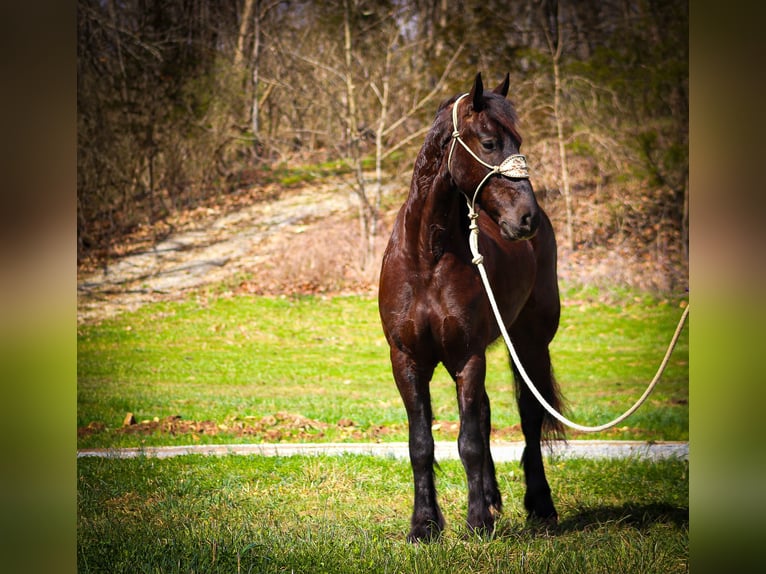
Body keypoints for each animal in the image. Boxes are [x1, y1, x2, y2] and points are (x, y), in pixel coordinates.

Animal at [380, 73, 568, 544]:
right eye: (488, 142)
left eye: (519, 140)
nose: (525, 219)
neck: (426, 258)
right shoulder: (407, 360)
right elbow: (422, 443)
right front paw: (424, 526)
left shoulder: (467, 356)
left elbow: (468, 441)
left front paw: (477, 523)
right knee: (483, 416)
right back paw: (492, 498)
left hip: (530, 345)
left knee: (529, 417)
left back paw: (540, 506)